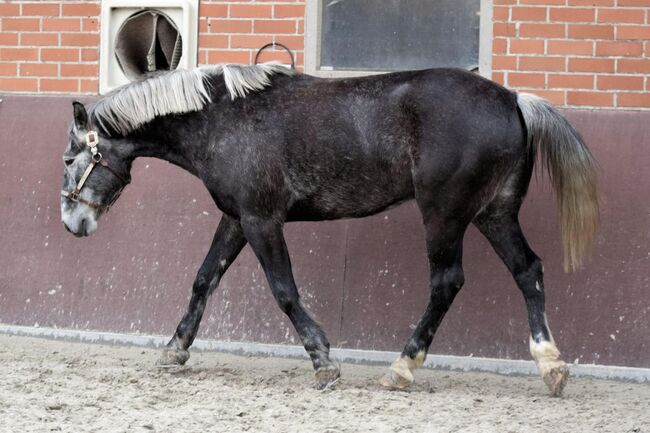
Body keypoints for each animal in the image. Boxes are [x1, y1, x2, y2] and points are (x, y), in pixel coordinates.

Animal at [60, 62, 596, 396]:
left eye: (69, 159)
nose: (72, 222)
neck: (225, 119)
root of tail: (514, 99)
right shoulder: (236, 218)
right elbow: (203, 279)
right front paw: (174, 351)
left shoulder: (261, 220)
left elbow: (284, 291)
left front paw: (324, 363)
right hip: (493, 213)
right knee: (528, 270)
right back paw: (551, 366)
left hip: (444, 215)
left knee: (447, 282)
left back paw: (402, 369)